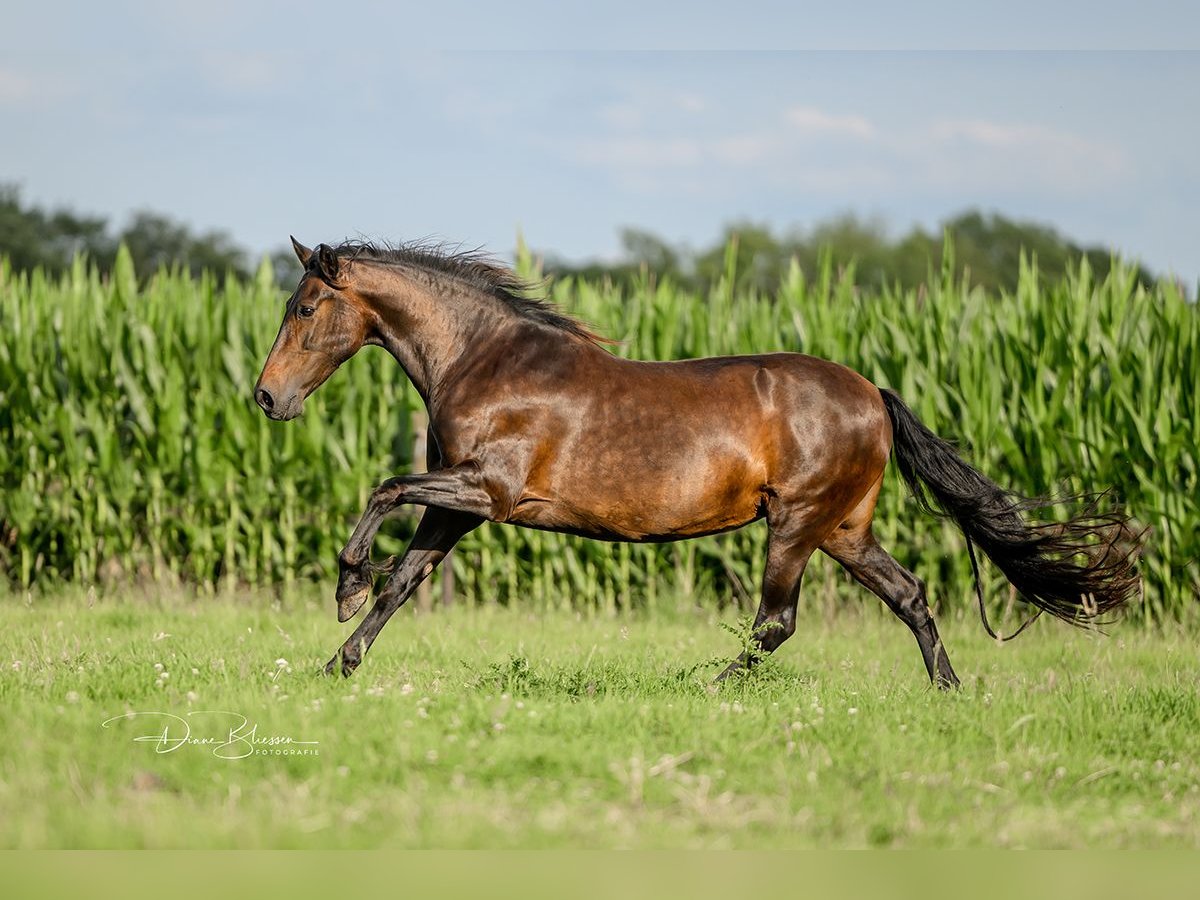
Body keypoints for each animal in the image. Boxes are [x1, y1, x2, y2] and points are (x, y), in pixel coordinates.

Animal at [255, 236, 1142, 686]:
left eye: (306, 308)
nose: (266, 398)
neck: (486, 361)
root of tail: (873, 393)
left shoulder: (487, 491)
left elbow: (384, 488)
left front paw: (342, 589)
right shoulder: (457, 506)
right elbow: (405, 581)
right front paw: (338, 663)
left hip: (796, 524)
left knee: (776, 622)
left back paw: (710, 690)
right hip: (844, 529)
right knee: (910, 596)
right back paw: (948, 693)